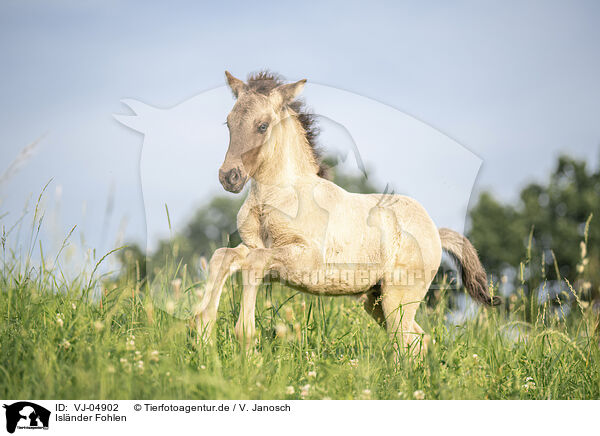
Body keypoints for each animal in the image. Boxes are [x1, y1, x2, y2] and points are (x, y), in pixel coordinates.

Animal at [195, 70, 500, 358]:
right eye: (229, 122)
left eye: (262, 125)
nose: (229, 177)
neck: (274, 197)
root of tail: (435, 233)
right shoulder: (253, 247)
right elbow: (223, 257)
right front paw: (203, 332)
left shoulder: (305, 261)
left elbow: (255, 263)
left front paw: (245, 340)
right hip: (374, 300)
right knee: (418, 339)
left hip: (399, 298)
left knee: (405, 341)